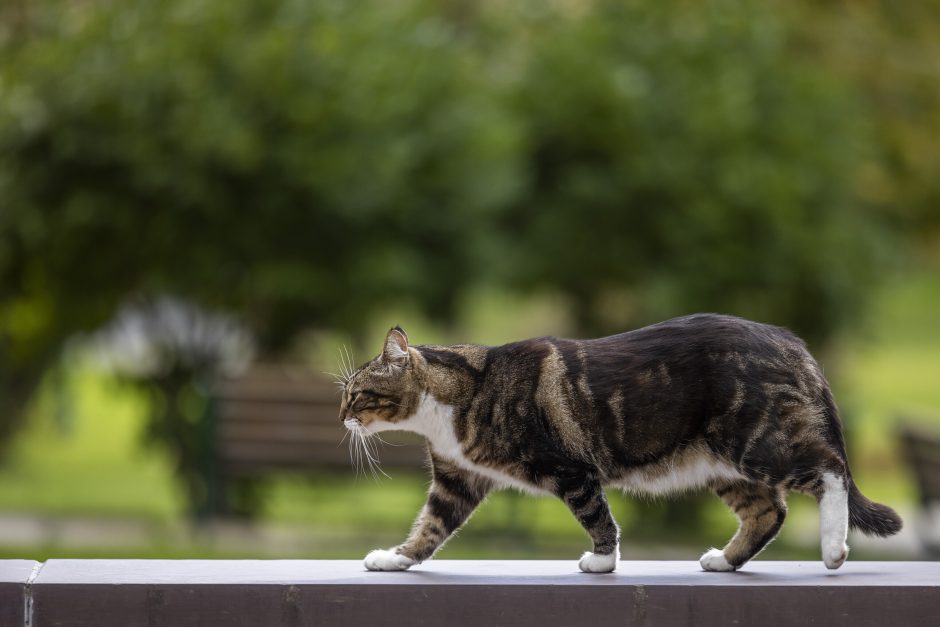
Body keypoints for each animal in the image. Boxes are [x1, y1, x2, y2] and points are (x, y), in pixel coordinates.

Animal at [340, 314, 904, 576]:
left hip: (756, 441)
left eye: (357, 393)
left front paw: (602, 561)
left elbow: (596, 514)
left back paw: (832, 548)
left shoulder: (569, 469)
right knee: (770, 511)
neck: (461, 395)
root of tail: (790, 341)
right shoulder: (457, 480)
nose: (342, 417)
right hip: (722, 463)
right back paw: (725, 560)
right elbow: (429, 528)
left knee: (829, 468)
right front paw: (394, 559)